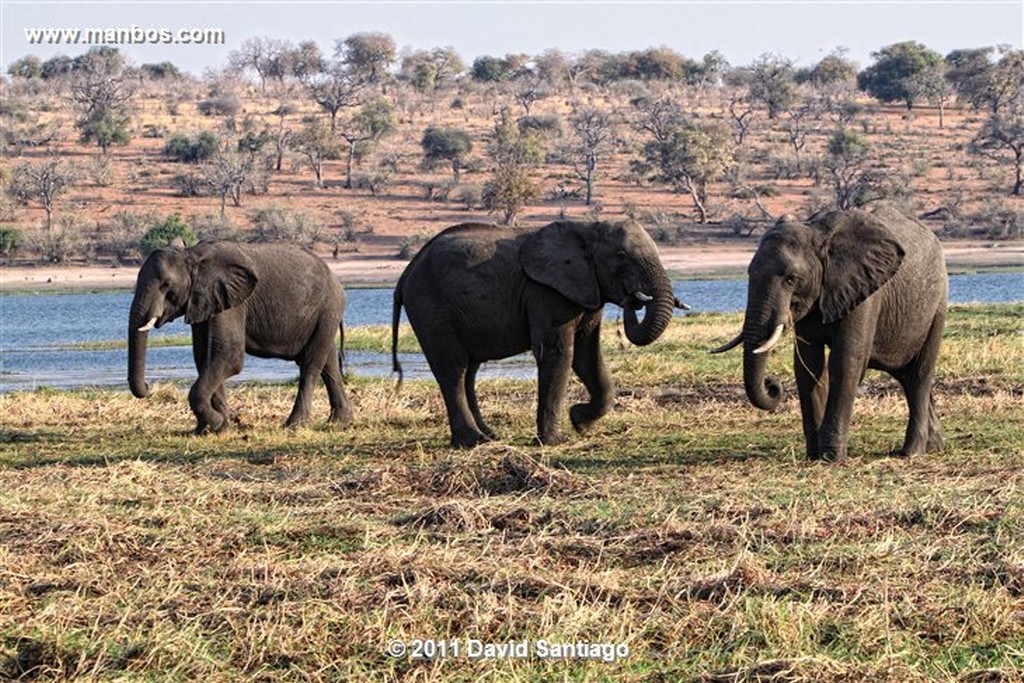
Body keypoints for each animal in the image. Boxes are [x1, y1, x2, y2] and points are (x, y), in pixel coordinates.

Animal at [128, 240, 354, 432]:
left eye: (166, 285)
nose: (148, 387)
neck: (192, 255)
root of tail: (334, 277)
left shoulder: (232, 301)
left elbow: (228, 356)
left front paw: (216, 424)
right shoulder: (206, 301)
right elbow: (204, 357)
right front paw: (214, 429)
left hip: (328, 308)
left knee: (310, 363)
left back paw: (294, 425)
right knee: (328, 362)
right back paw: (340, 422)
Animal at [391, 220, 679, 448]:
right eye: (620, 255)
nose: (634, 299)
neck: (587, 228)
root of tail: (406, 273)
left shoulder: (586, 290)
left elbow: (587, 356)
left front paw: (579, 423)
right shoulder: (547, 293)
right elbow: (559, 352)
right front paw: (553, 441)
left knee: (469, 372)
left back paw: (489, 436)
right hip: (431, 307)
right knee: (453, 368)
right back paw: (473, 441)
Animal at [712, 201, 942, 458]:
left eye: (791, 279)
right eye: (750, 273)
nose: (772, 384)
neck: (817, 234)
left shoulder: (865, 291)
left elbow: (845, 361)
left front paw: (832, 457)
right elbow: (808, 364)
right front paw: (814, 455)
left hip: (937, 306)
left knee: (919, 375)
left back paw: (912, 452)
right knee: (906, 376)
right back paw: (933, 446)